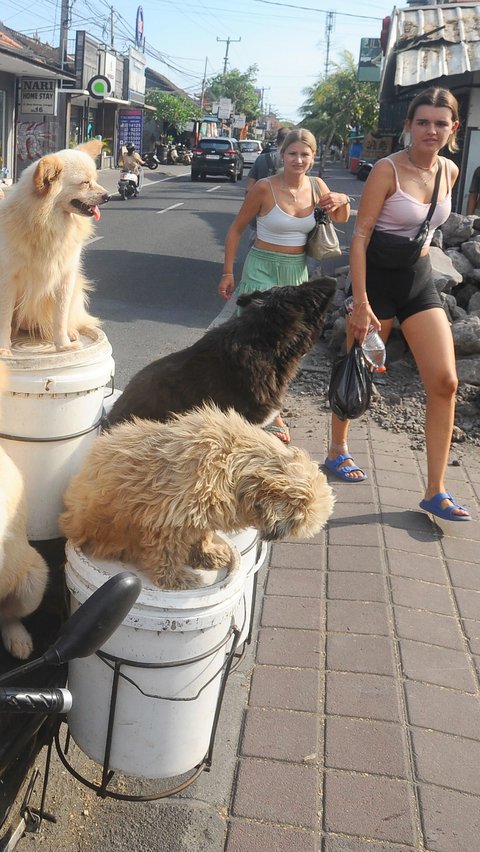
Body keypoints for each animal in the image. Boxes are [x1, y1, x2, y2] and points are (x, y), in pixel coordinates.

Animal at [0, 141, 109, 354]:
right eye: (85, 183)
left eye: (95, 180)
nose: (108, 196)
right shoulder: (7, 281)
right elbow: (5, 319)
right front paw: (3, 348)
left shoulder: (65, 278)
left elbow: (60, 317)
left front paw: (64, 344)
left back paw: (71, 332)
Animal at [60, 402, 336, 588]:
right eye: (297, 521)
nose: (275, 536)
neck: (234, 468)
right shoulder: (169, 517)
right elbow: (167, 552)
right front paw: (175, 578)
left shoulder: (199, 516)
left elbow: (202, 535)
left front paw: (207, 555)